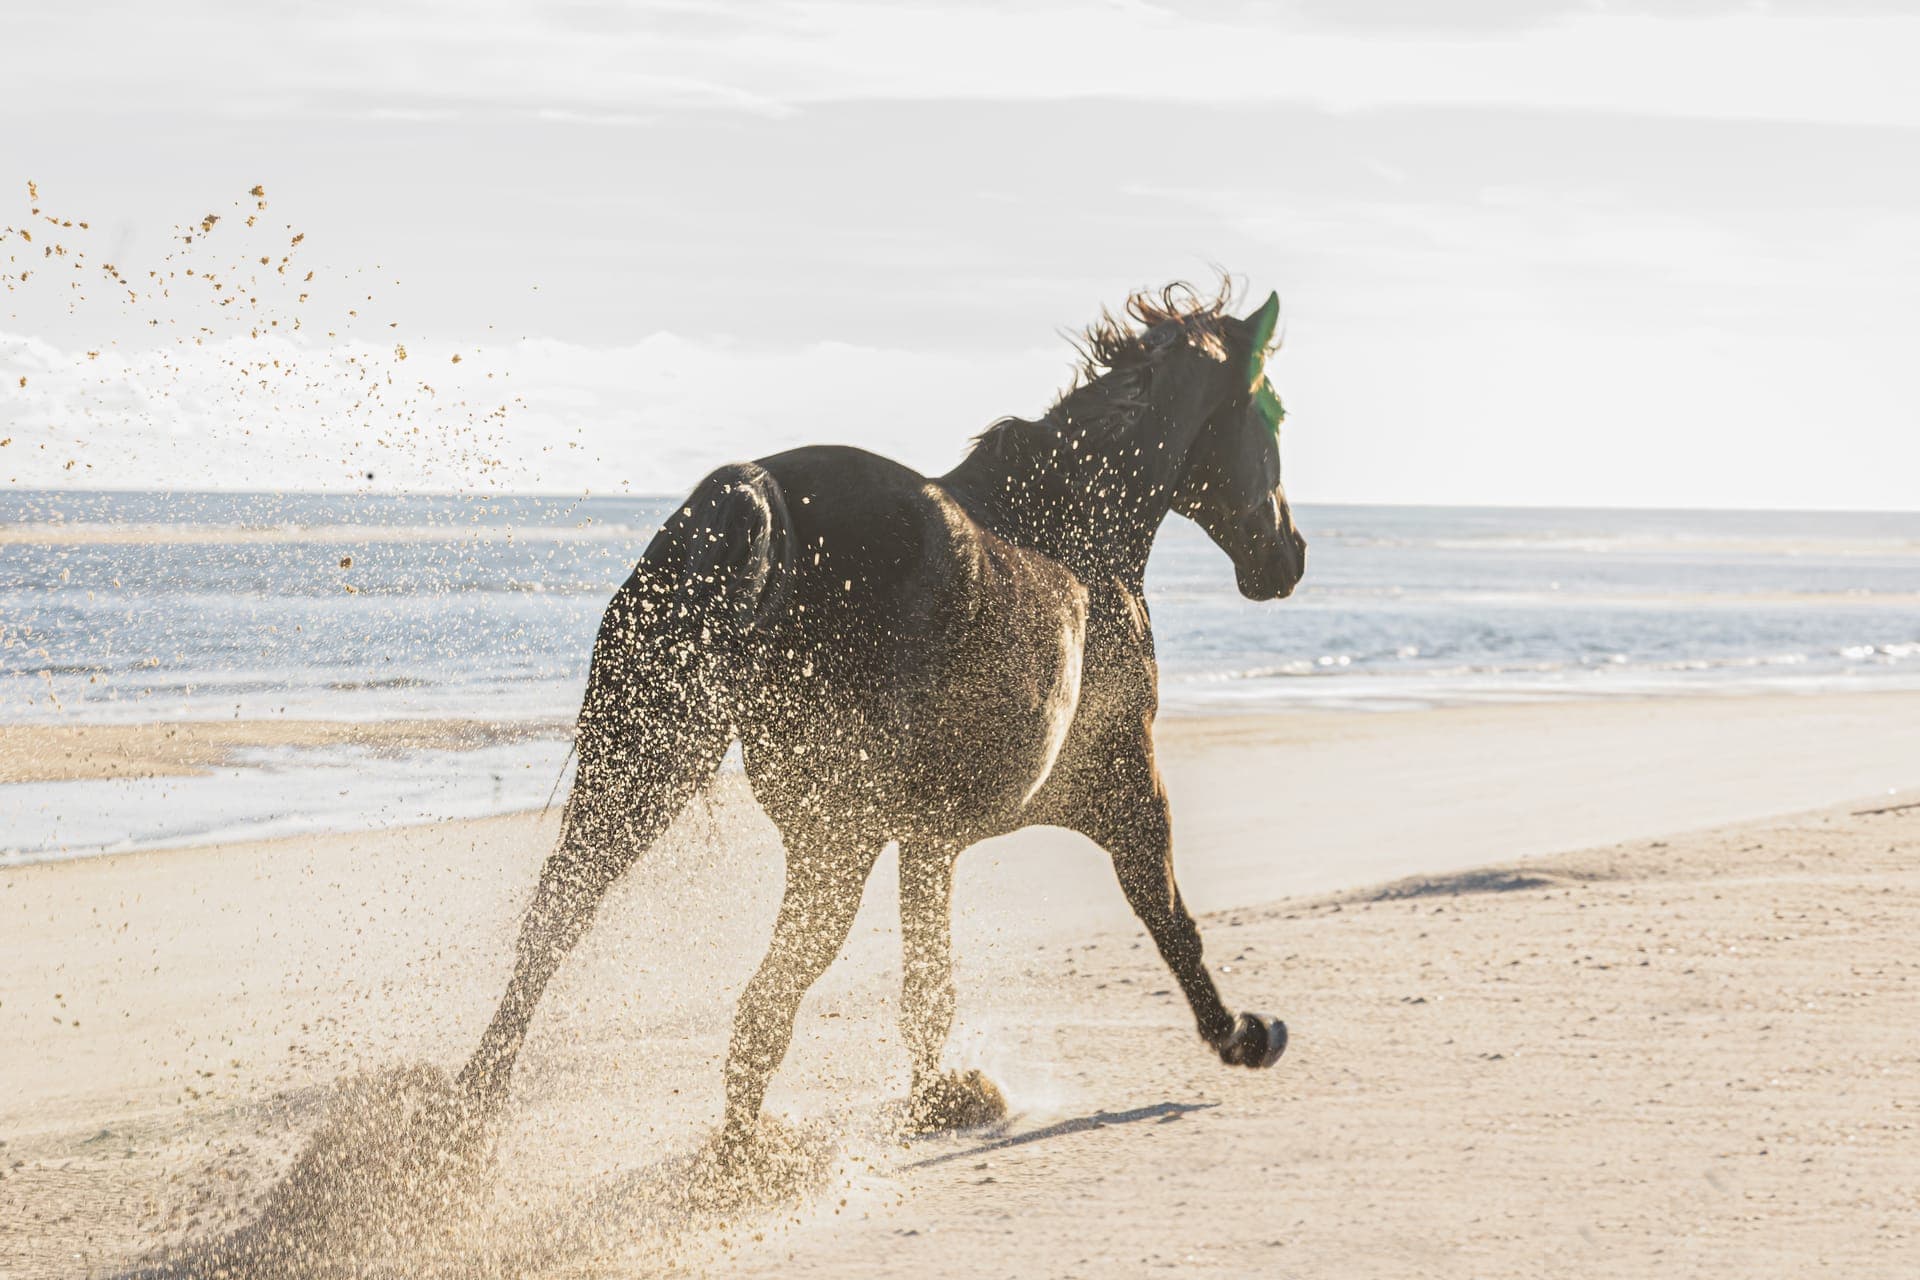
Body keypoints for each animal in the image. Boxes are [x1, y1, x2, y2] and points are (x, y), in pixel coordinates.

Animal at [457, 281, 1307, 1145]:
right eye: (1272, 413)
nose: (1289, 557)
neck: (1077, 531)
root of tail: (752, 489)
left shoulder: (929, 841)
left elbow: (927, 986)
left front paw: (938, 1097)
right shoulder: (1124, 786)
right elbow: (1169, 918)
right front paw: (1242, 1035)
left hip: (645, 772)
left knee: (554, 927)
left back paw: (471, 1114)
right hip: (830, 842)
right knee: (763, 1002)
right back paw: (749, 1154)